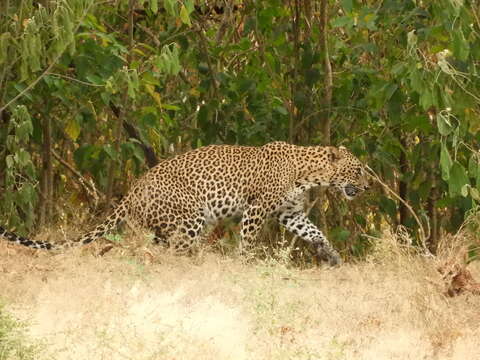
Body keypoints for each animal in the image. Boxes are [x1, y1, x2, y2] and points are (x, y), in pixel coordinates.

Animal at [0, 141, 370, 264]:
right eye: (357, 170)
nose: (368, 186)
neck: (308, 173)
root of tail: (134, 188)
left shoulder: (289, 213)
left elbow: (314, 231)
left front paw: (331, 255)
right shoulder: (257, 209)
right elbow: (248, 241)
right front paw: (245, 266)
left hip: (169, 226)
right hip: (190, 219)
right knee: (171, 253)